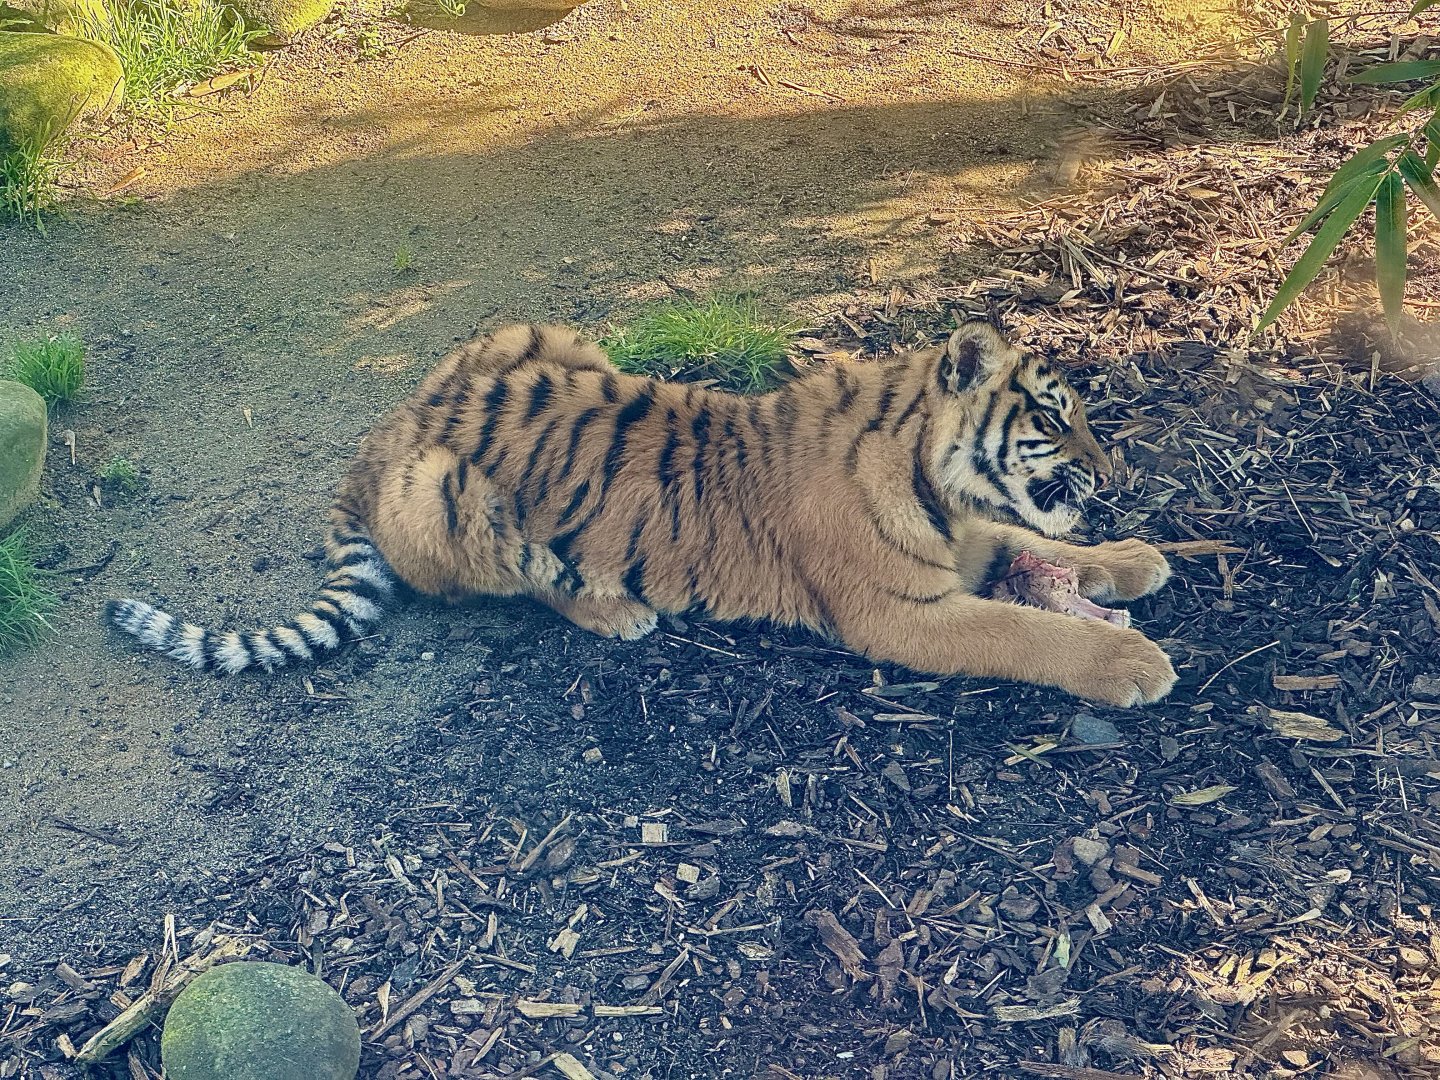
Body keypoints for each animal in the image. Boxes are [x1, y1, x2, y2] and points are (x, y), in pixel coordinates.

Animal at [106, 320, 1178, 707]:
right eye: (1054, 419)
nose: (1113, 468)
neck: (937, 485)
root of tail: (384, 432)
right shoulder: (899, 615)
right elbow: (1023, 630)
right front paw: (1134, 662)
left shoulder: (970, 542)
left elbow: (1029, 545)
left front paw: (1139, 557)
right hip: (453, 496)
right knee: (529, 585)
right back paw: (616, 610)